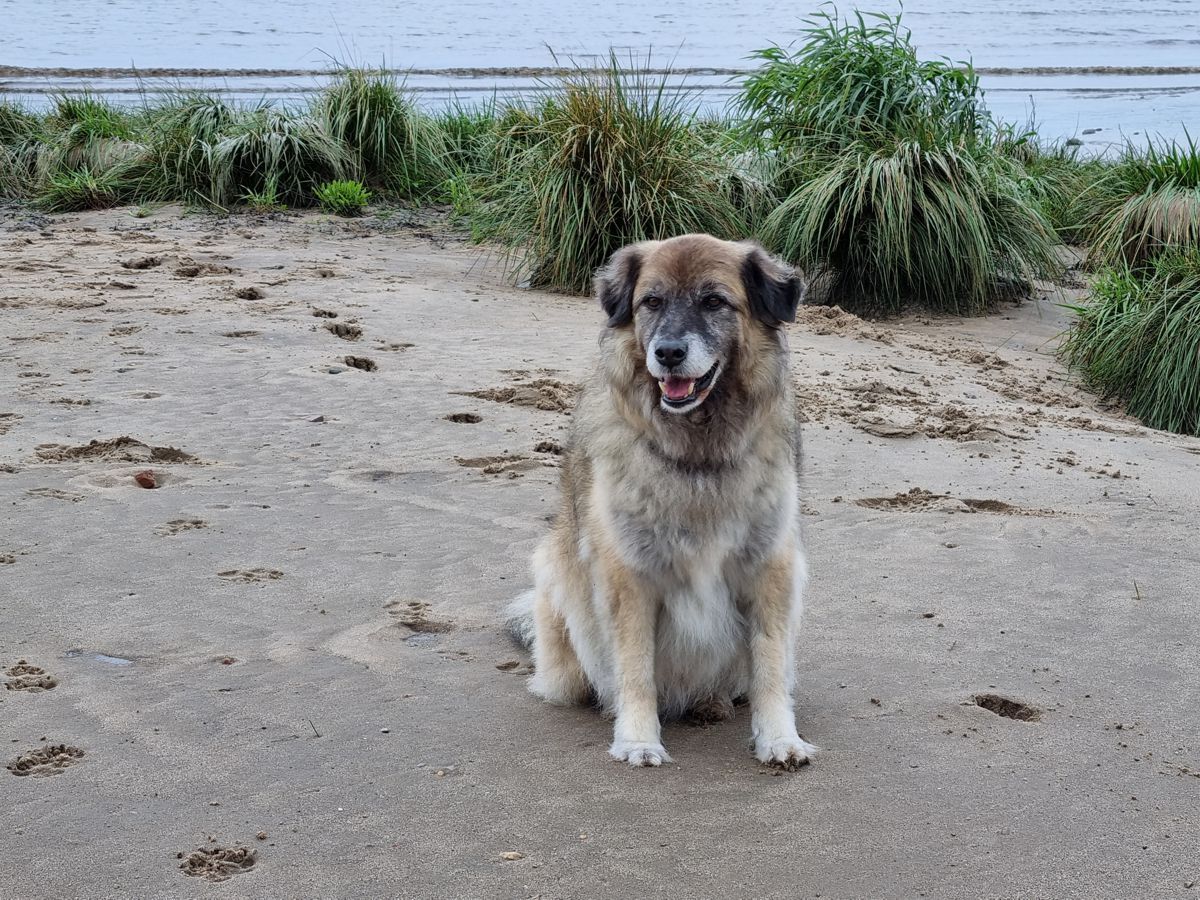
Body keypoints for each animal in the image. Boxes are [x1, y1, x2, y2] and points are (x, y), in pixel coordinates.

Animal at [506, 232, 816, 768]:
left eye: (714, 301)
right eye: (651, 302)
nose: (668, 352)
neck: (696, 454)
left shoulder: (770, 568)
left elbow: (771, 664)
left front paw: (779, 738)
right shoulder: (629, 577)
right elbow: (635, 667)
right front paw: (637, 740)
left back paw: (713, 703)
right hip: (556, 581)